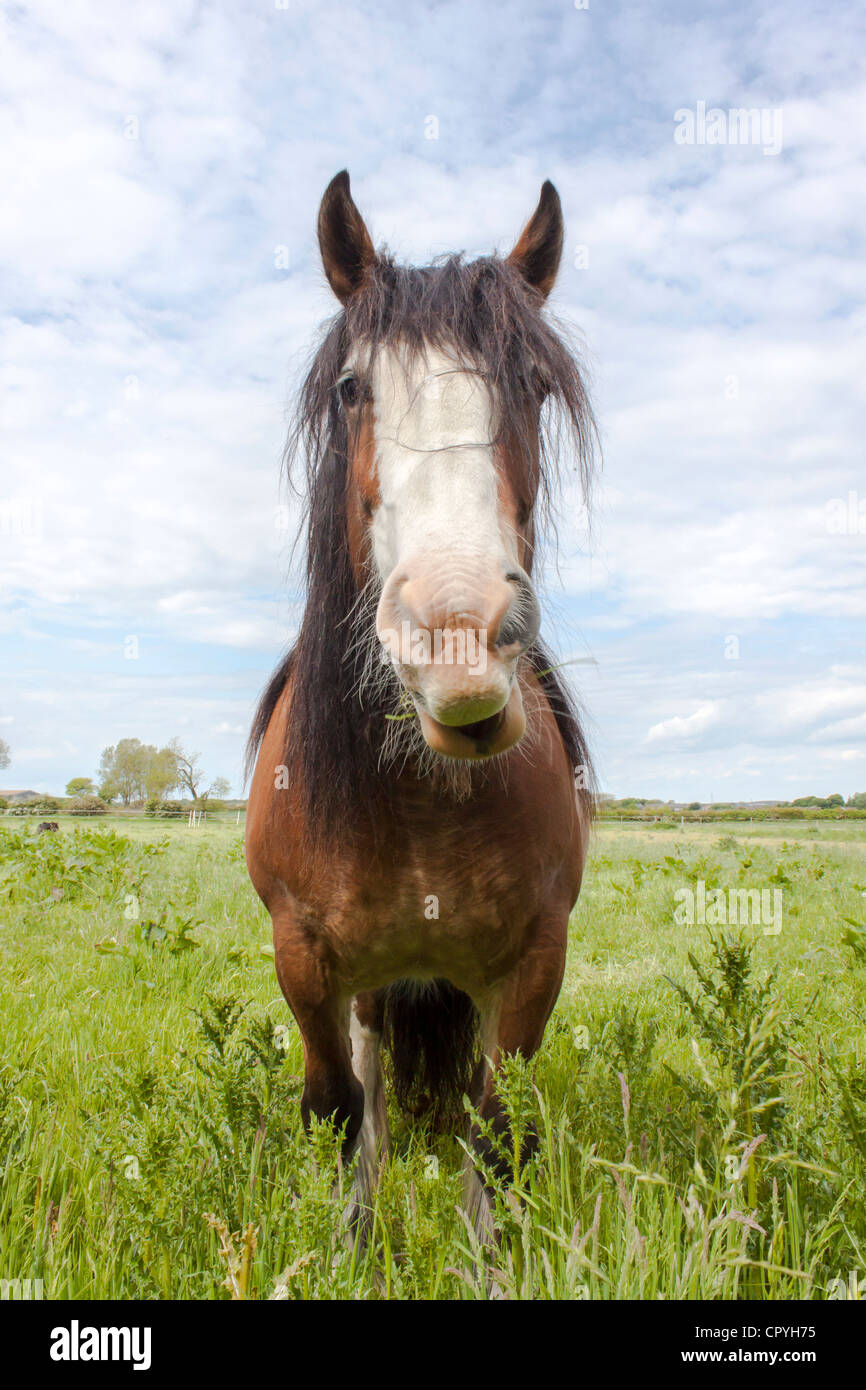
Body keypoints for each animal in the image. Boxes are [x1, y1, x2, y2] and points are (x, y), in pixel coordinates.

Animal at [245, 170, 597, 1241]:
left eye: (532, 386)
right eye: (353, 388)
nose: (459, 638)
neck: (419, 802)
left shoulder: (533, 963)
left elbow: (496, 1133)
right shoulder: (302, 958)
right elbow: (334, 1110)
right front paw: (344, 1250)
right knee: (367, 1089)